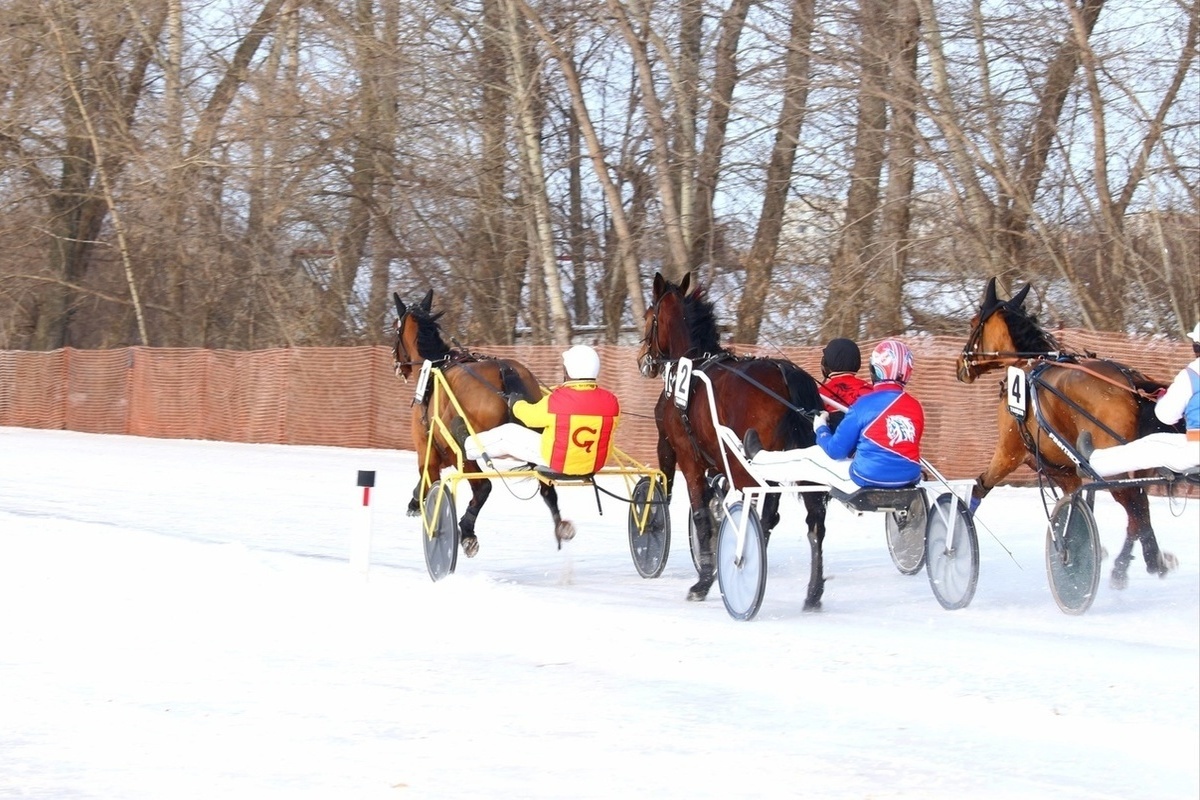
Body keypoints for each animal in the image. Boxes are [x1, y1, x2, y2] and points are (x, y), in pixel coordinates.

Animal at [391, 291, 573, 561]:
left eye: (395, 328)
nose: (397, 364)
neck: (434, 370)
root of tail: (505, 370)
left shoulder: (428, 451)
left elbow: (428, 483)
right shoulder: (442, 455)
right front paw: (414, 501)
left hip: (468, 450)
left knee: (483, 487)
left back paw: (467, 531)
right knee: (545, 485)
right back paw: (560, 525)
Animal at [638, 272, 835, 609]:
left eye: (649, 316)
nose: (644, 361)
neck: (693, 365)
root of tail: (786, 374)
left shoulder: (685, 456)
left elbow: (701, 515)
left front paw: (703, 581)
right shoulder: (720, 463)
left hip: (754, 468)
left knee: (765, 518)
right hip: (797, 468)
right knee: (814, 522)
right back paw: (812, 593)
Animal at [955, 278, 1180, 592]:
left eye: (973, 322)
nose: (960, 366)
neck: (1029, 366)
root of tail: (1130, 381)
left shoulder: (1010, 454)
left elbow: (979, 488)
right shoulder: (1066, 472)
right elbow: (1077, 505)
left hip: (1112, 470)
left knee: (1136, 509)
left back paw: (1143, 562)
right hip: (1136, 466)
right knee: (1139, 513)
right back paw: (1132, 565)